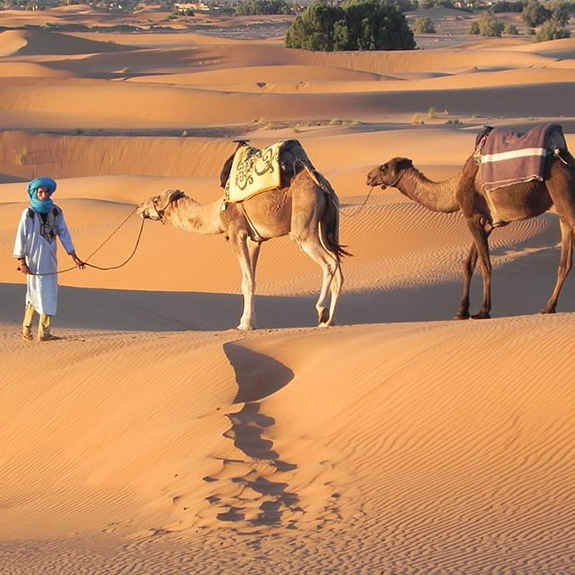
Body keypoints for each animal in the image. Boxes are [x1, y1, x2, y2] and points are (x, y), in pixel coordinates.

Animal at [137, 170, 348, 328]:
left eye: (155, 200)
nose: (139, 207)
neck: (217, 212)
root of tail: (322, 186)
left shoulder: (236, 233)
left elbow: (246, 281)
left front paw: (243, 325)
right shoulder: (255, 240)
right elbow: (251, 279)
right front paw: (249, 322)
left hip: (303, 223)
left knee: (329, 263)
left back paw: (322, 311)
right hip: (328, 225)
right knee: (338, 267)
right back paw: (329, 322)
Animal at [366, 155, 575, 320]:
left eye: (384, 167)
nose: (369, 176)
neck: (454, 187)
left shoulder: (471, 217)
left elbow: (485, 265)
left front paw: (483, 311)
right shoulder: (486, 223)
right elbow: (468, 264)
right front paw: (461, 311)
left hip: (562, 191)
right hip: (561, 211)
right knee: (564, 264)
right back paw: (548, 307)